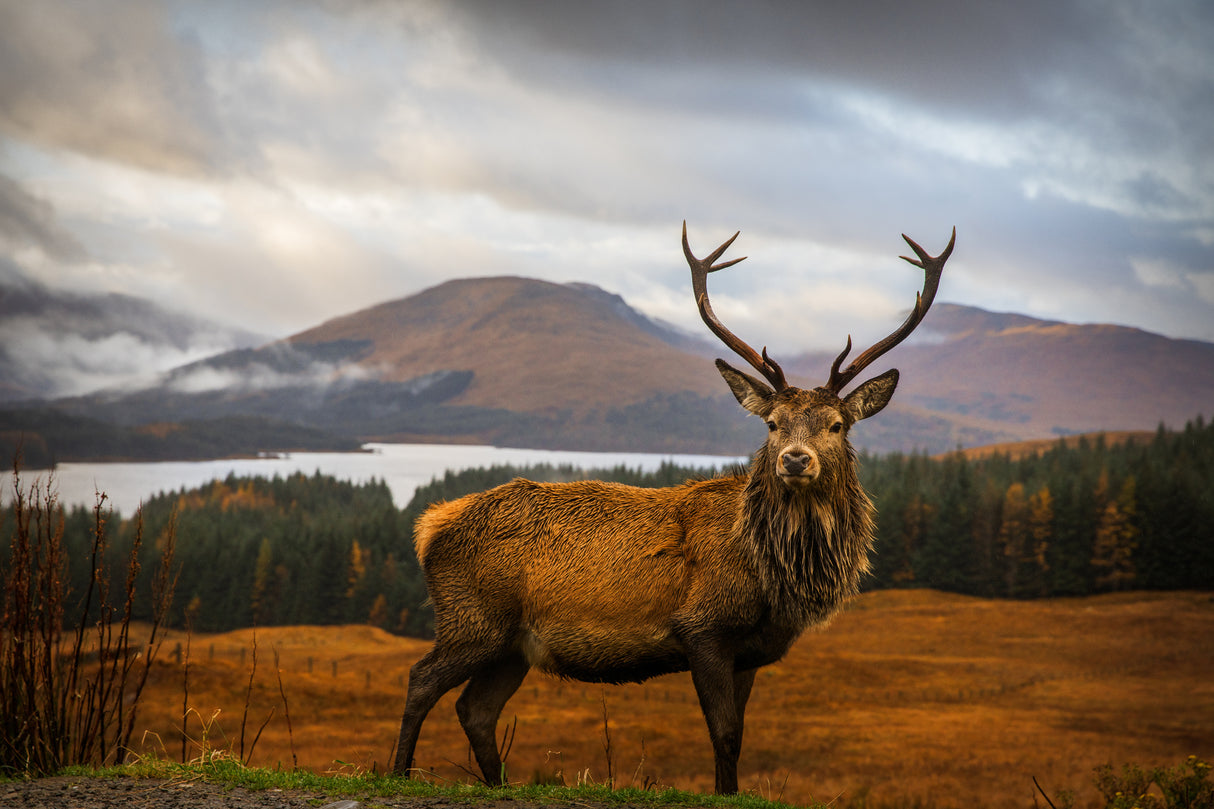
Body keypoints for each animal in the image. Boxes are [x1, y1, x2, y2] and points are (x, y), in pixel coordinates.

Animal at [392, 222, 955, 794]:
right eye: (772, 423)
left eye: (837, 425)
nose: (795, 459)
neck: (773, 578)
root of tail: (429, 525)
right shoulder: (701, 628)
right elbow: (723, 733)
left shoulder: (750, 653)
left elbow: (739, 735)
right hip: (473, 619)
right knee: (420, 680)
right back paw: (398, 772)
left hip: (512, 646)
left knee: (475, 709)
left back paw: (497, 784)